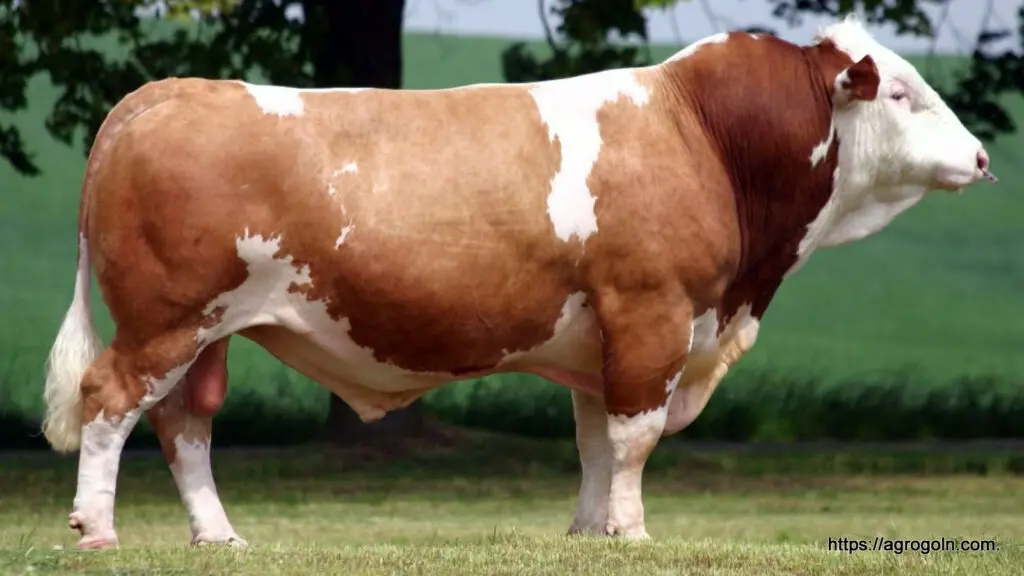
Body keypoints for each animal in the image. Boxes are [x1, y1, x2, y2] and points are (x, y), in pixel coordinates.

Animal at [40, 15, 995, 549]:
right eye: (903, 93)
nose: (985, 157)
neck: (705, 136)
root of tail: (167, 91)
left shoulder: (603, 338)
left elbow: (597, 441)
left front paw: (589, 533)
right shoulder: (653, 316)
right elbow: (638, 437)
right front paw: (634, 534)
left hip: (204, 332)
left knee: (184, 425)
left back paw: (219, 536)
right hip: (165, 319)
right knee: (110, 401)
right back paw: (99, 530)